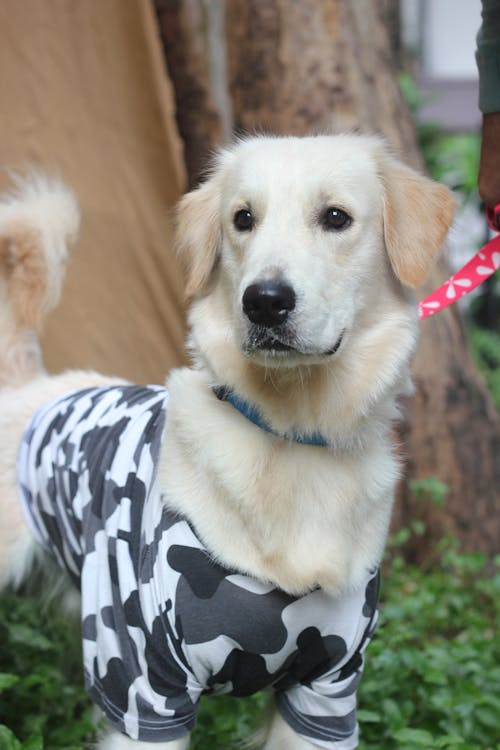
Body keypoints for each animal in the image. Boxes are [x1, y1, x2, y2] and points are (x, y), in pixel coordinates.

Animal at [0, 137, 456, 750]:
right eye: (243, 219)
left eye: (336, 217)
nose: (264, 301)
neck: (290, 437)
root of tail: (30, 385)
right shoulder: (145, 684)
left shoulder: (327, 691)